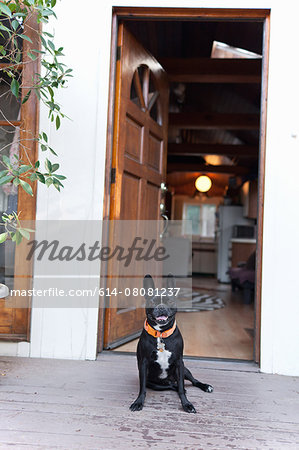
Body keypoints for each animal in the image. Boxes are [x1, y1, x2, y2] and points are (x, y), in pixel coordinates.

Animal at [130, 272, 214, 414]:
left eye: (169, 301)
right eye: (152, 302)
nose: (161, 307)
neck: (161, 334)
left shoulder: (179, 363)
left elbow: (181, 388)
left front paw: (186, 404)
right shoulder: (144, 364)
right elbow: (142, 389)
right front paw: (138, 402)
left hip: (185, 370)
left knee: (191, 381)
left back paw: (205, 386)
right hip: (155, 384)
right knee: (170, 386)